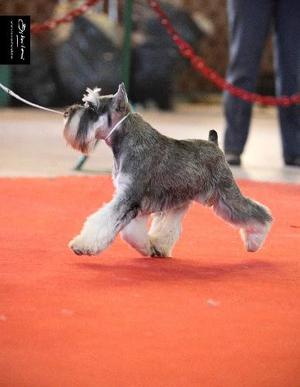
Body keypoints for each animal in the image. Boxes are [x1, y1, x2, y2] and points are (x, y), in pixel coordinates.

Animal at [62, 83, 272, 258]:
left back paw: (256, 240)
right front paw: (146, 247)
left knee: (256, 214)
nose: (66, 112)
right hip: (180, 199)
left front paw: (82, 245)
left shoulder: (128, 197)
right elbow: (132, 232)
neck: (128, 140)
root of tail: (214, 144)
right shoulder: (134, 201)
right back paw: (159, 246)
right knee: (169, 225)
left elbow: (103, 221)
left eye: (92, 108)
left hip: (225, 197)